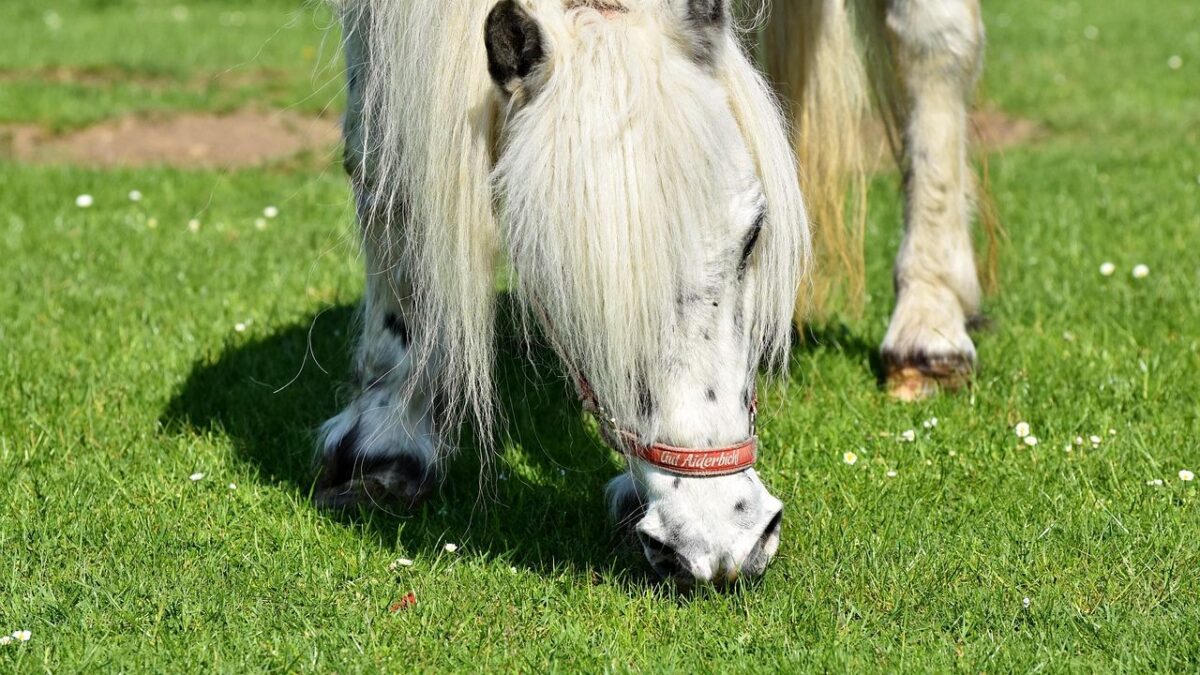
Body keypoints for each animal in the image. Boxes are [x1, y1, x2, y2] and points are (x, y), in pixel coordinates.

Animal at [317, 0, 987, 586]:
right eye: (557, 278)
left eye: (754, 234)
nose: (725, 543)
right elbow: (383, 163)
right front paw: (387, 435)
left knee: (935, 44)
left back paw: (929, 328)